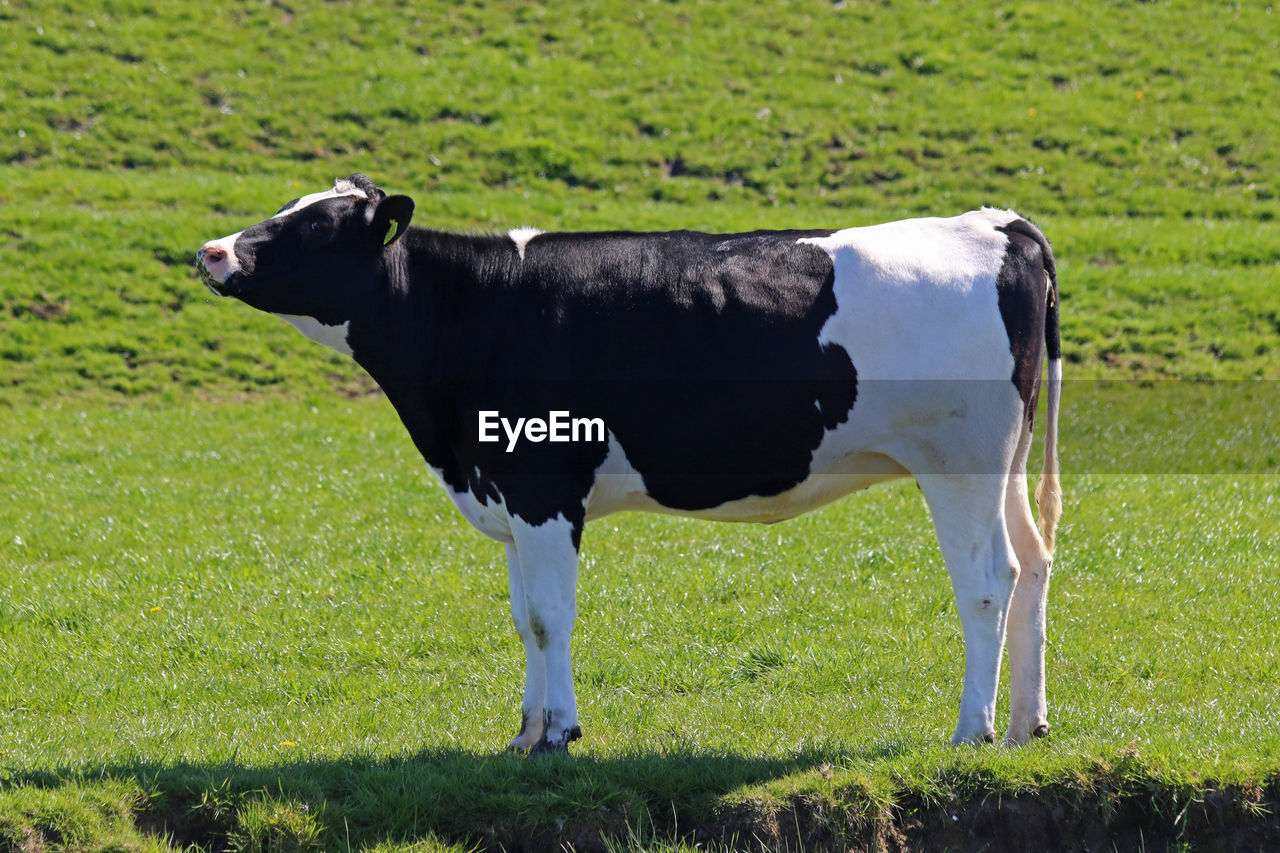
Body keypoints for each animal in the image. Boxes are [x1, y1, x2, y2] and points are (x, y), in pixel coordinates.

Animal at [197, 172, 1059, 753]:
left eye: (317, 225)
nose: (211, 251)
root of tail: (997, 223)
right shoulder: (507, 488)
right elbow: (524, 617)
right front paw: (525, 734)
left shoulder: (544, 485)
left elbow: (551, 614)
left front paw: (559, 734)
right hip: (1006, 460)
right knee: (1034, 563)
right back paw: (1026, 723)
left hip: (959, 461)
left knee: (988, 582)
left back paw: (972, 730)